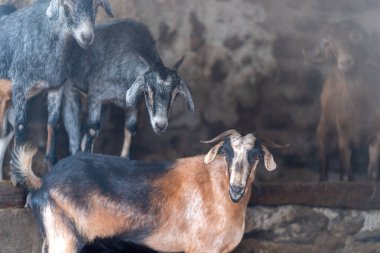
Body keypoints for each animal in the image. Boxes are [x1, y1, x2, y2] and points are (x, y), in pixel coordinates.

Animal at [0, 0, 113, 168]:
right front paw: (17, 168)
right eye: (67, 5)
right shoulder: (20, 83)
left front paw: (51, 160)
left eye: (96, 5)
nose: (86, 36)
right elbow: (20, 124)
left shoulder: (56, 85)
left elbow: (53, 123)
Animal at [11, 130, 276, 253]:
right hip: (64, 237)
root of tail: (42, 182)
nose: (237, 189)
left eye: (256, 156)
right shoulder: (201, 248)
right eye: (226, 153)